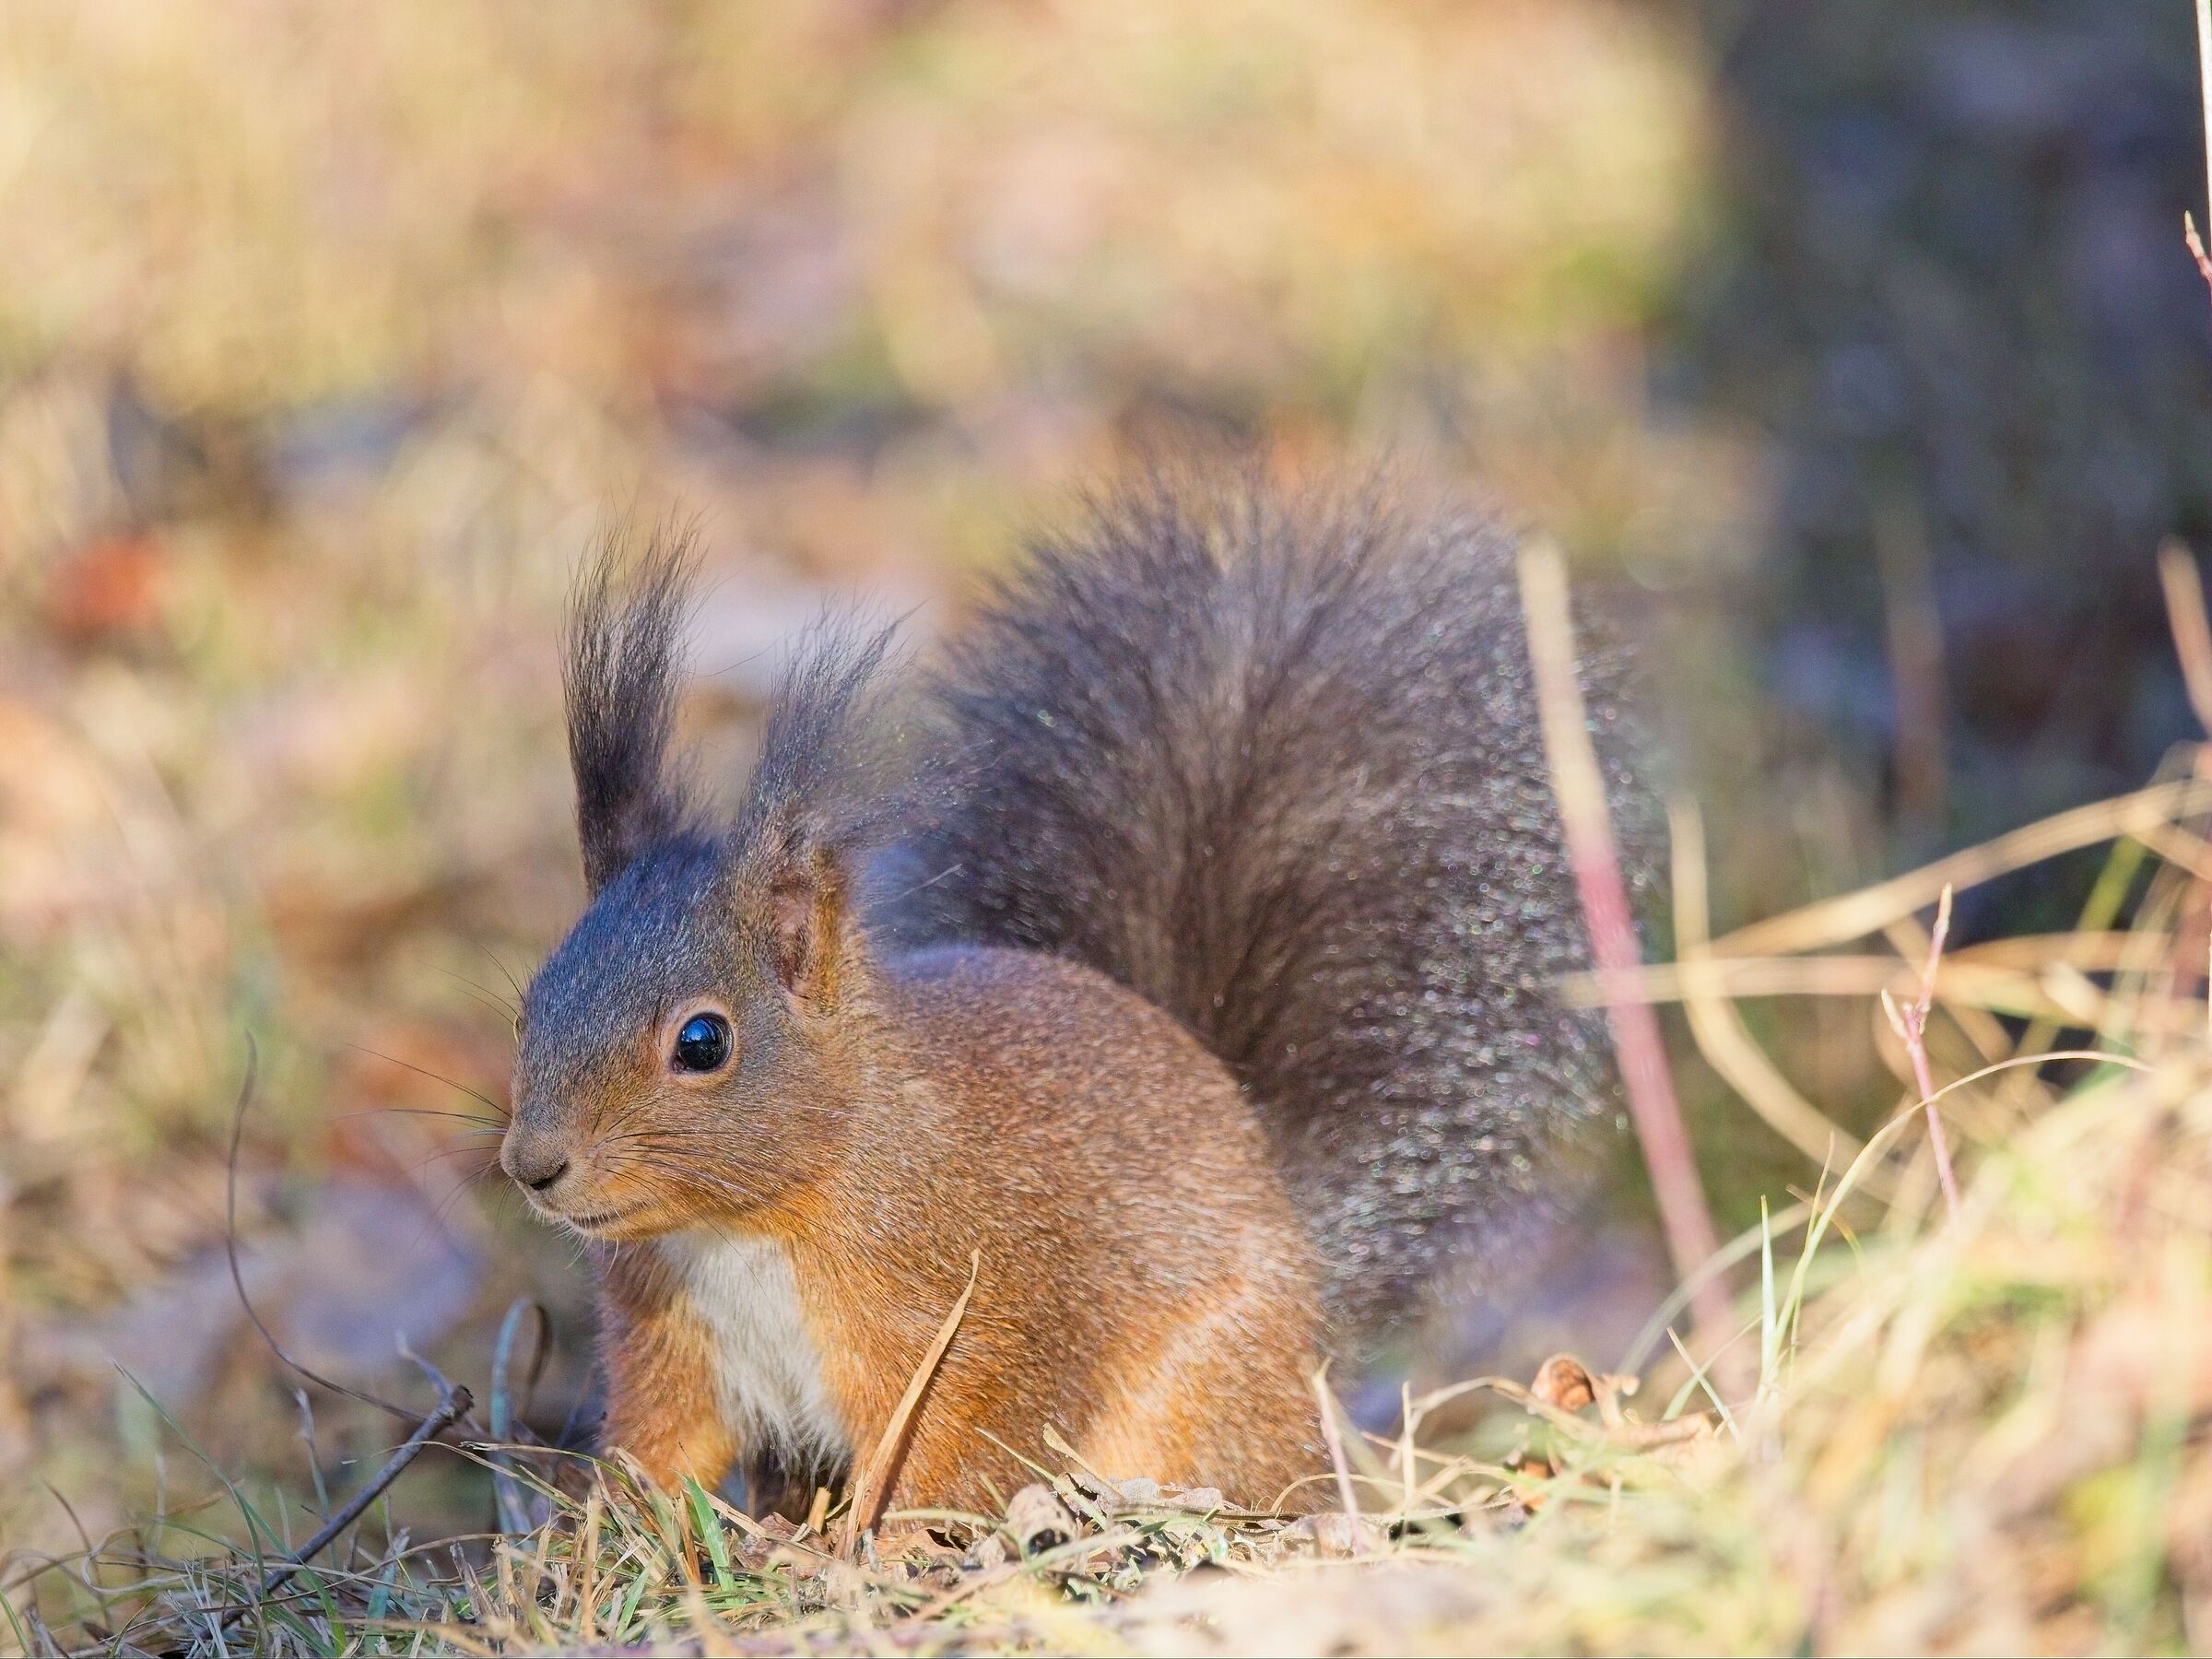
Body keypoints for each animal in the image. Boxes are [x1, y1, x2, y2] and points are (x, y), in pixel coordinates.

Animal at [499, 471, 1624, 1518]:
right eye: (532, 1003)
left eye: (702, 1042)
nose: (532, 1166)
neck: (744, 1226)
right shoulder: (670, 1340)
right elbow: (660, 1452)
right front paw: (583, 1550)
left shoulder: (980, 1312)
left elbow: (962, 1447)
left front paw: (884, 1556)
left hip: (1196, 1394)